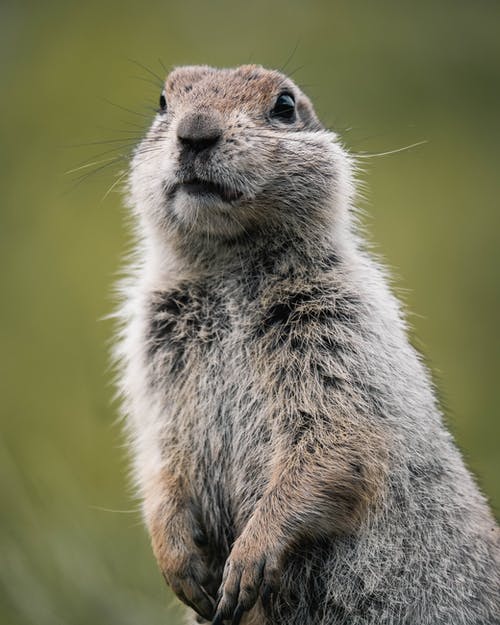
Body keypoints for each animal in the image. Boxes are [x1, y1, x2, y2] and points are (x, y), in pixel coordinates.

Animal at [114, 66, 500, 620]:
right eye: (163, 101)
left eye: (284, 106)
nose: (195, 131)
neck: (228, 269)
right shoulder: (154, 347)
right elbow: (160, 452)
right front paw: (180, 563)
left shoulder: (339, 326)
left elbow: (335, 440)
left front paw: (247, 561)